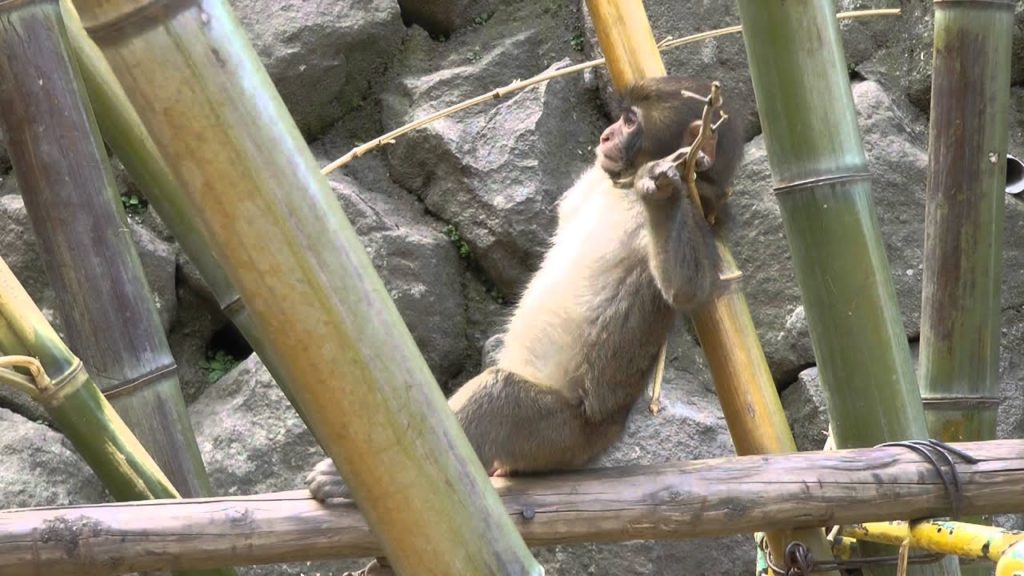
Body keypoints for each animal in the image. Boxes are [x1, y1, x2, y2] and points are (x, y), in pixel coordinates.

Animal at [305, 78, 744, 573]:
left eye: (631, 121)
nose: (608, 133)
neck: (621, 189)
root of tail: (606, 436)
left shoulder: (699, 207)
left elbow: (687, 286)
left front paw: (661, 196)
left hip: (565, 439)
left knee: (501, 396)